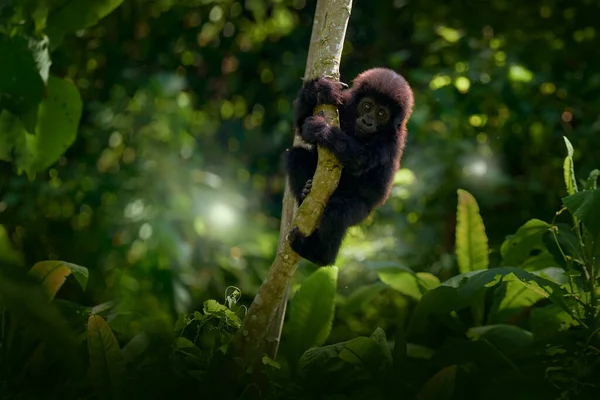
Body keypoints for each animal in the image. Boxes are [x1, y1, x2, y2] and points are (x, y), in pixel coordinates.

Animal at [284, 68, 412, 266]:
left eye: (382, 114)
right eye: (367, 106)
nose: (367, 121)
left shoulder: (389, 142)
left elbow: (359, 160)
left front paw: (321, 129)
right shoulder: (344, 102)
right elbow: (300, 126)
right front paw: (319, 89)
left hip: (362, 212)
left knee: (339, 210)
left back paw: (318, 255)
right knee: (296, 156)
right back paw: (304, 194)